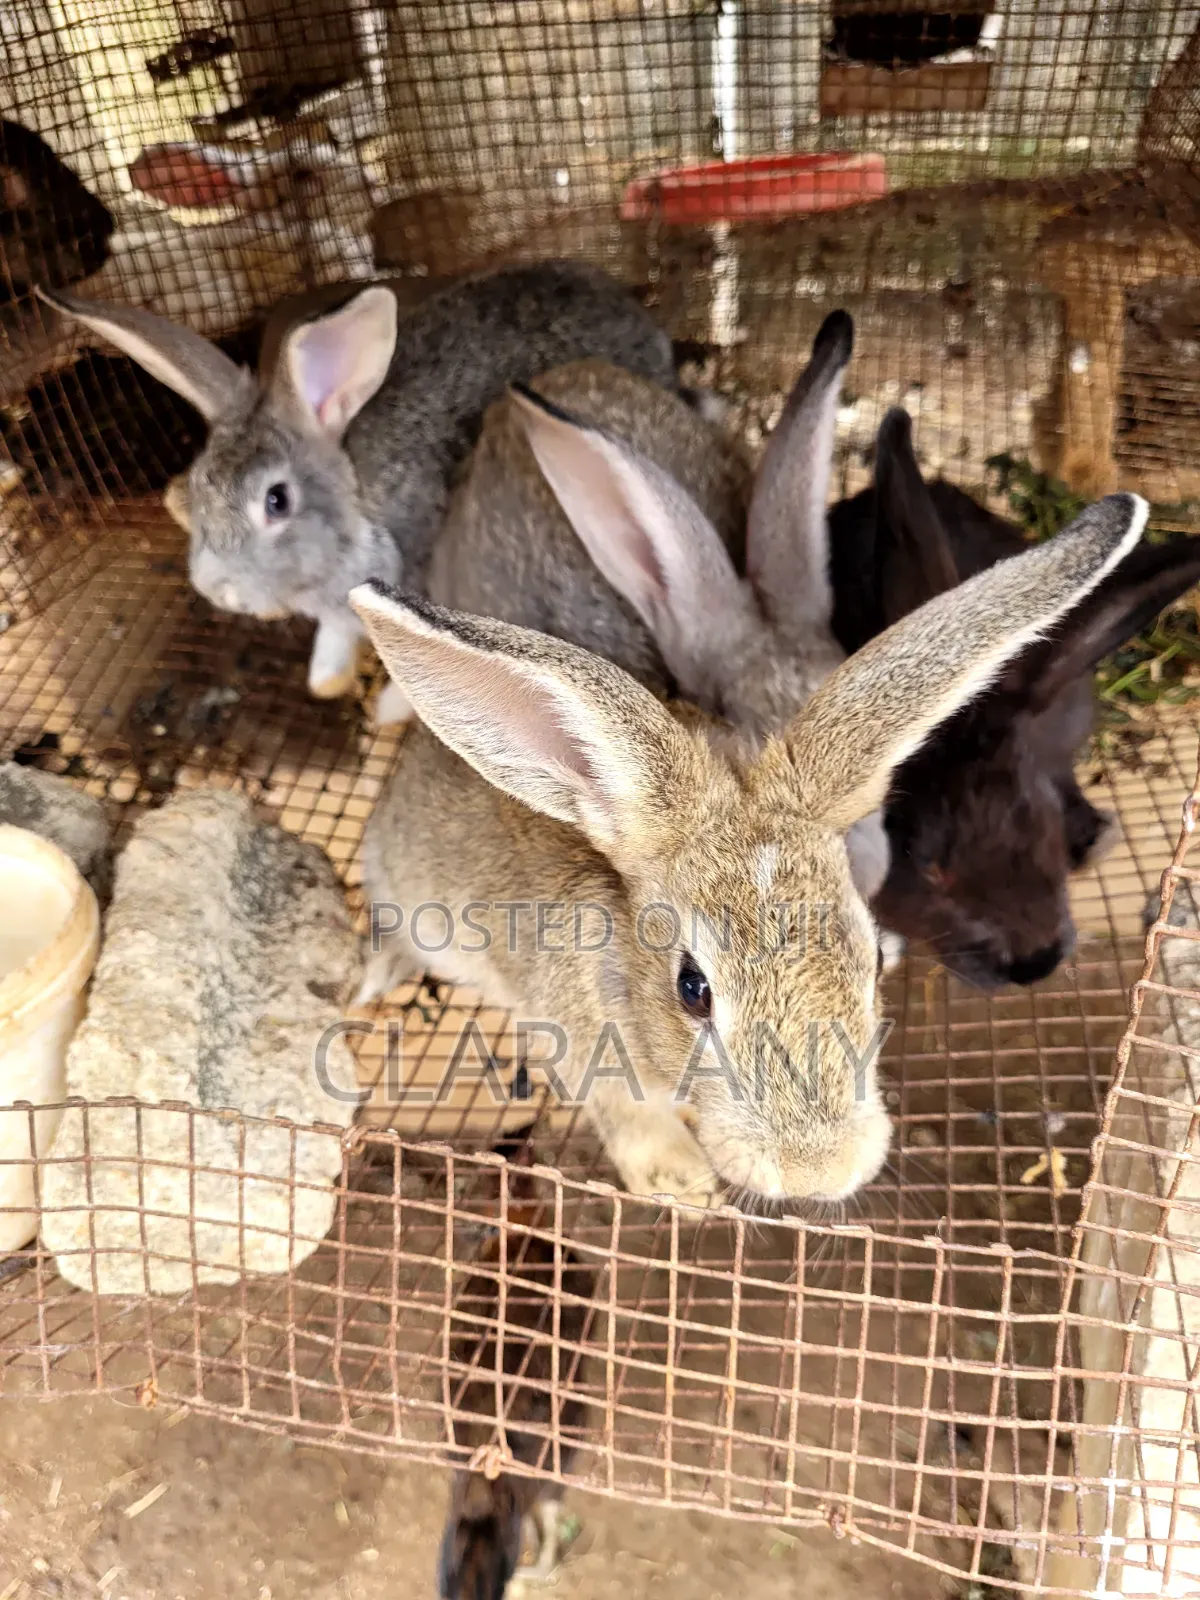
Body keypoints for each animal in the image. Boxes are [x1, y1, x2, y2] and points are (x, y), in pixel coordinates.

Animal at [35, 261, 678, 711]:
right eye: (195, 489)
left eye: (276, 501)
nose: (217, 590)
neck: (355, 506)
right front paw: (325, 680)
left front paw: (388, 707)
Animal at [348, 487, 1146, 1206]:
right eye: (692, 989)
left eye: (867, 962)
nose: (816, 1173)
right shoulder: (581, 1042)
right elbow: (624, 1112)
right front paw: (685, 1187)